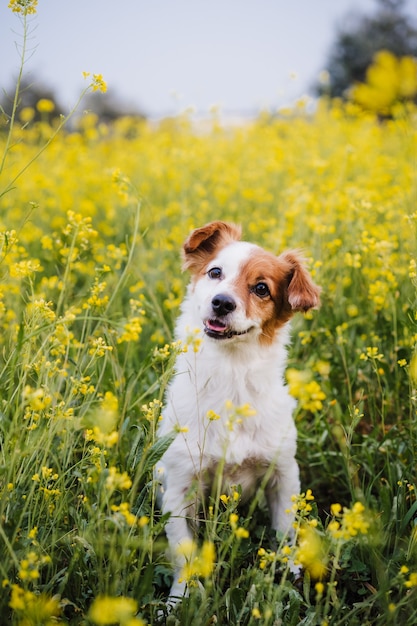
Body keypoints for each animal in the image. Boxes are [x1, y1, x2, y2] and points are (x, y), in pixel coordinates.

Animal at [154, 222, 320, 604]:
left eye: (261, 288)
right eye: (215, 272)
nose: (222, 302)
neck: (232, 379)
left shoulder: (283, 474)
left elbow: (286, 533)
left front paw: (288, 576)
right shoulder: (179, 487)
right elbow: (184, 552)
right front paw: (179, 600)